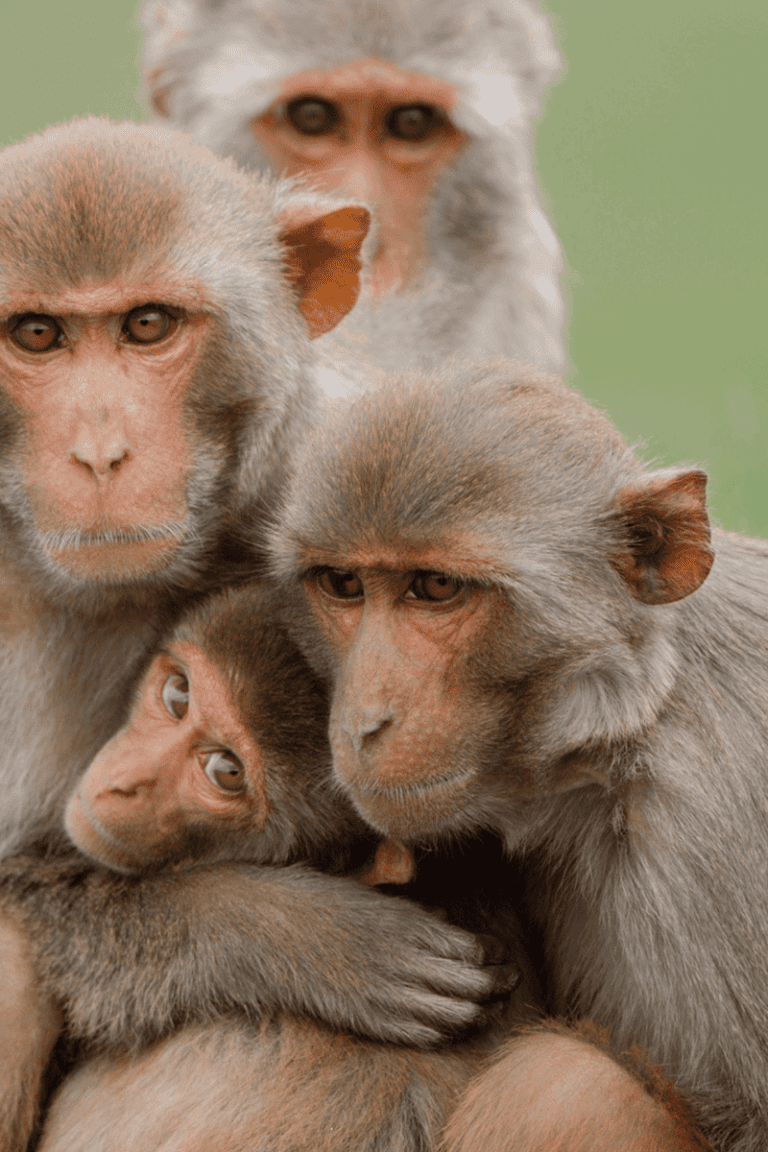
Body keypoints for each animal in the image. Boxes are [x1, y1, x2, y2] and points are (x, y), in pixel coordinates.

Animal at [266, 360, 760, 1150]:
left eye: (435, 587)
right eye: (344, 584)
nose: (362, 722)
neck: (618, 744)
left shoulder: (707, 832)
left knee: (564, 1087)